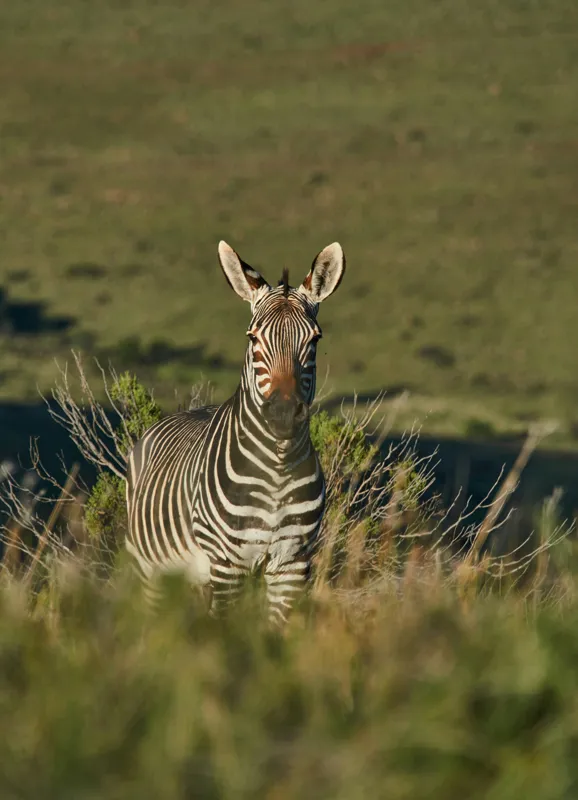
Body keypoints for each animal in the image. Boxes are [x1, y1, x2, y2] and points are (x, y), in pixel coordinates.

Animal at [125, 240, 345, 624]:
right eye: (253, 338)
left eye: (314, 339)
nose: (284, 414)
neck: (277, 469)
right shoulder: (229, 564)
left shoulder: (292, 564)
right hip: (151, 569)